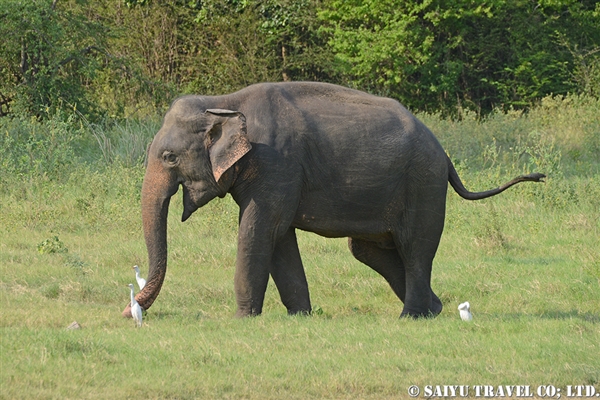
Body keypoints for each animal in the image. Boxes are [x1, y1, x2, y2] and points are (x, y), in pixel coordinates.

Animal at [120, 81, 544, 318]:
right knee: (370, 250)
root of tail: (446, 155)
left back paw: (411, 317)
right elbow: (279, 238)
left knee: (416, 249)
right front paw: (300, 316)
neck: (223, 100)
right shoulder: (275, 173)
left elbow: (259, 230)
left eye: (169, 157)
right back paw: (436, 309)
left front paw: (241, 319)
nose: (129, 311)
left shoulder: (276, 163)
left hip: (423, 184)